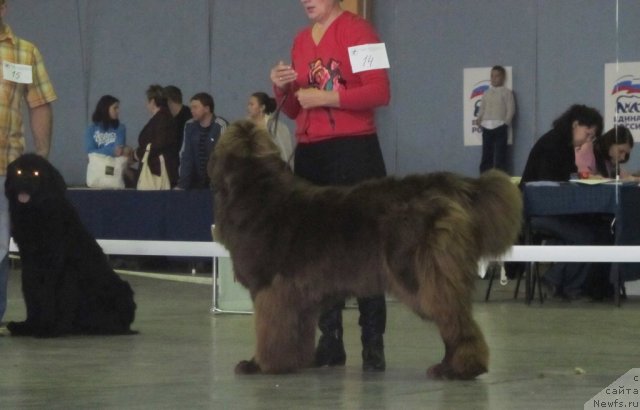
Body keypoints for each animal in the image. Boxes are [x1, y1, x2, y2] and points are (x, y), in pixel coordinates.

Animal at [4, 154, 136, 336]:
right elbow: (31, 292)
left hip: (122, 290)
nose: (23, 181)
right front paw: (28, 325)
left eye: (36, 173)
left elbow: (47, 295)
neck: (37, 213)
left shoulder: (55, 265)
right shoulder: (29, 262)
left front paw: (46, 328)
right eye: (18, 171)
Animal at [210, 120, 520, 380]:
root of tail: (443, 186)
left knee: (453, 319)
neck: (256, 189)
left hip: (417, 274)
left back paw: (461, 369)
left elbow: (268, 332)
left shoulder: (269, 288)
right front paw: (294, 361)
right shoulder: (296, 296)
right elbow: (295, 332)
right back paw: (447, 366)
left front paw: (259, 364)